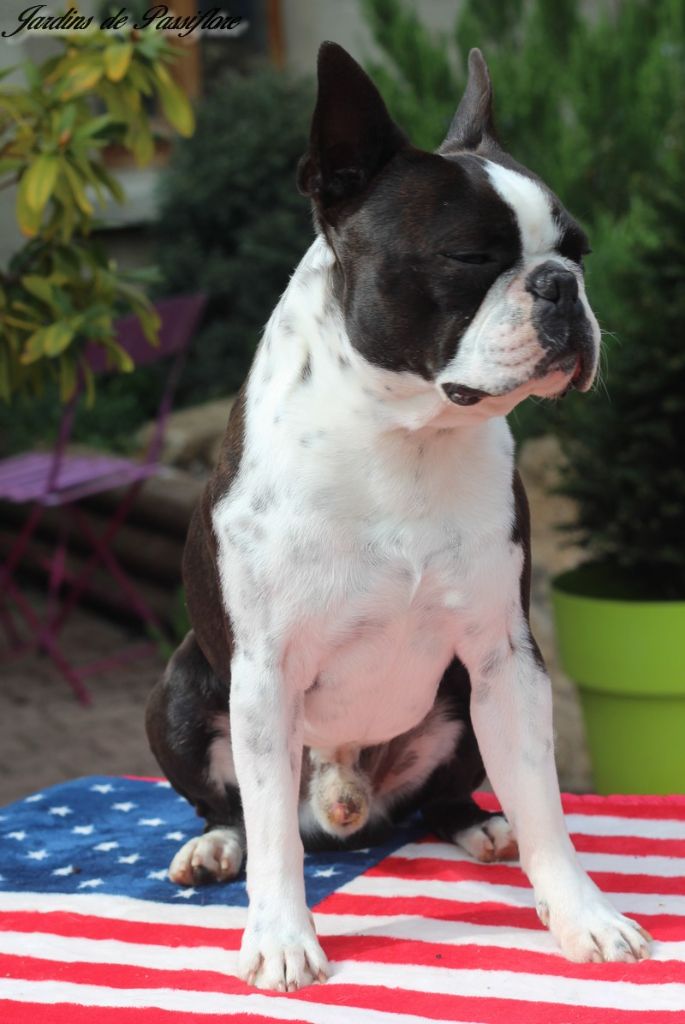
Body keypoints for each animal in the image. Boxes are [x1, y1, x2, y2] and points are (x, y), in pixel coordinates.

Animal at [145, 41, 651, 991]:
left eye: (578, 250)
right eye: (467, 255)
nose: (560, 285)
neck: (404, 436)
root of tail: (346, 800)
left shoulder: (506, 657)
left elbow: (547, 804)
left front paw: (582, 916)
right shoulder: (263, 672)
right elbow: (272, 832)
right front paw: (281, 938)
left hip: (458, 693)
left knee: (442, 798)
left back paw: (480, 823)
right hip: (184, 685)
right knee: (238, 808)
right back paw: (215, 848)